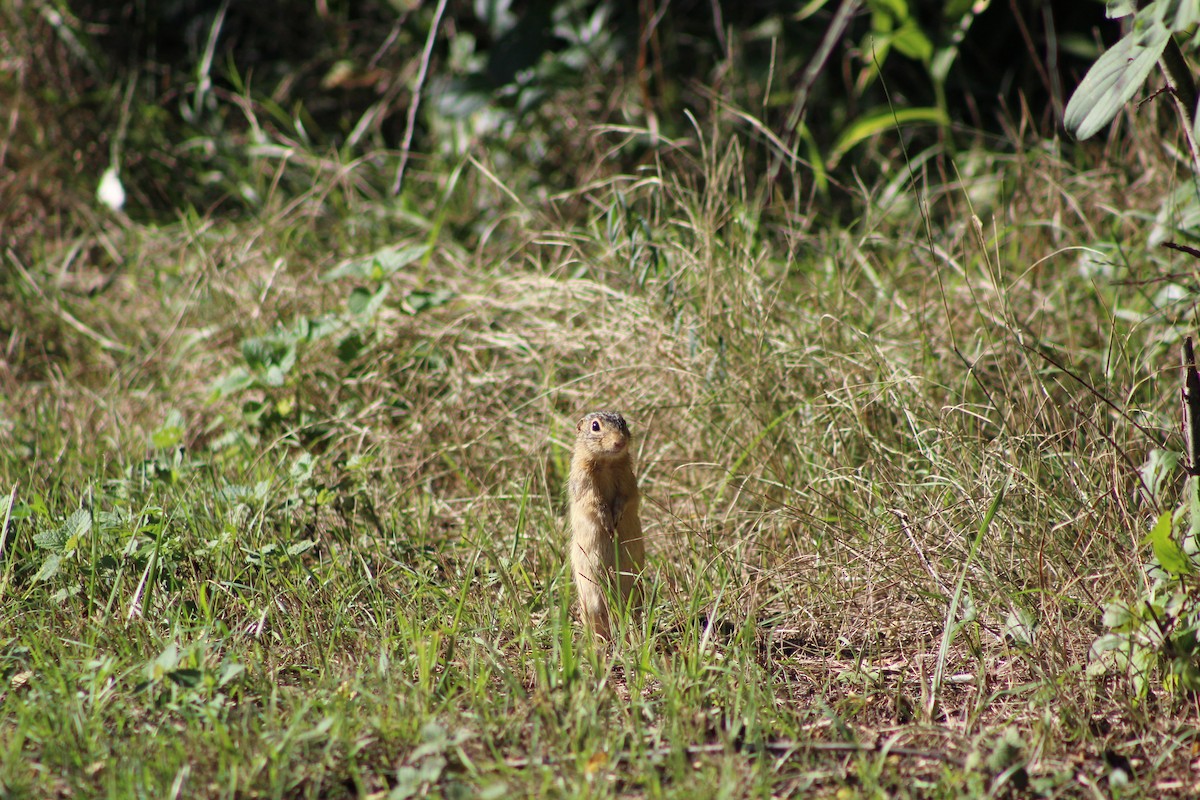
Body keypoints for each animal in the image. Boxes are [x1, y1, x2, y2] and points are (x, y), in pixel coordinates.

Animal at [568, 410, 645, 641]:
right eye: (595, 426)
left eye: (624, 422)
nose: (620, 442)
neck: (607, 463)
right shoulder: (584, 482)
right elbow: (594, 502)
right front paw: (608, 524)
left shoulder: (628, 480)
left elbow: (627, 497)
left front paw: (616, 519)